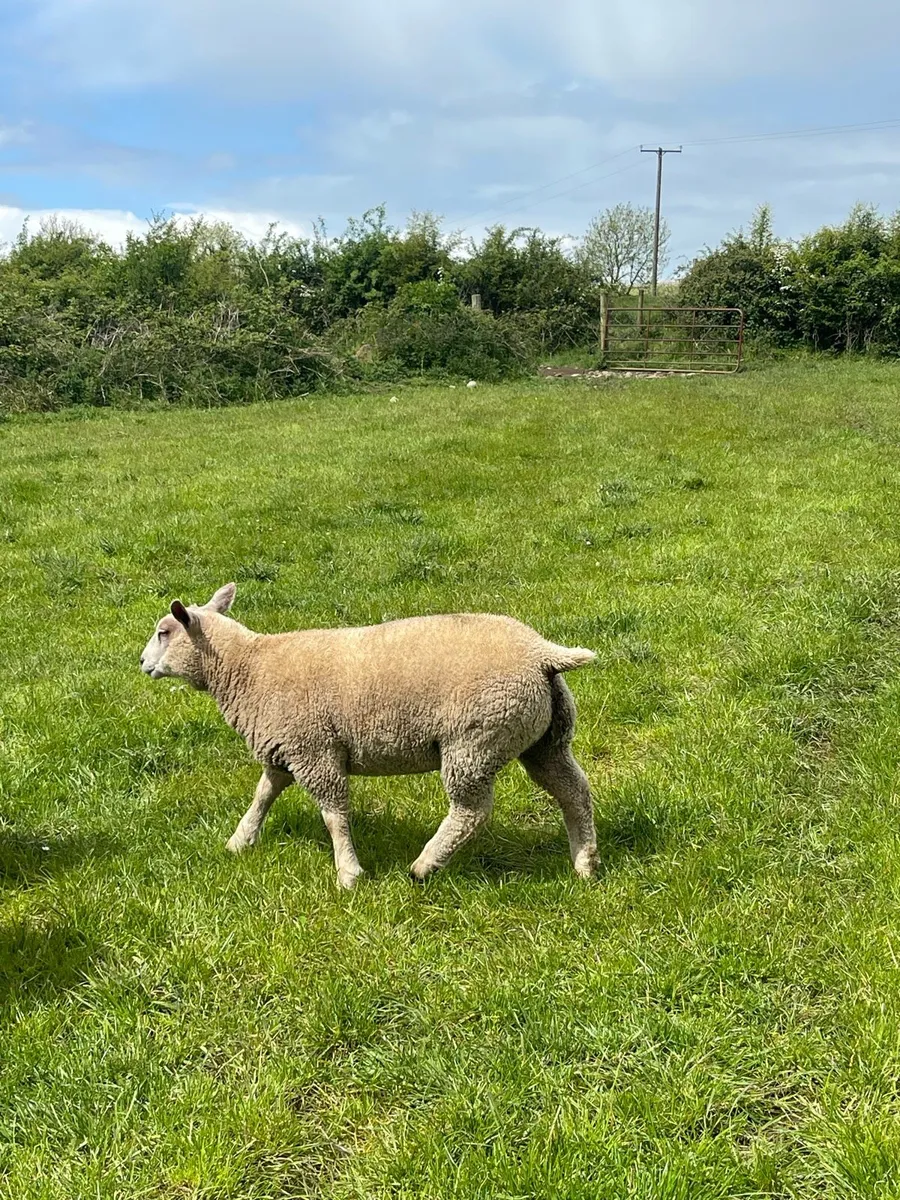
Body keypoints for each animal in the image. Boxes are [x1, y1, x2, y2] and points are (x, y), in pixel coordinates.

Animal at [139, 584, 599, 888]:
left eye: (164, 631)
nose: (142, 662)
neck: (248, 669)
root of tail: (541, 653)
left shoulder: (315, 751)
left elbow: (334, 815)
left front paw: (349, 873)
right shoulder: (285, 750)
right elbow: (262, 795)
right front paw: (240, 841)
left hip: (474, 741)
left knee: (472, 810)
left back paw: (424, 865)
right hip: (545, 738)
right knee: (574, 791)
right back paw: (585, 863)